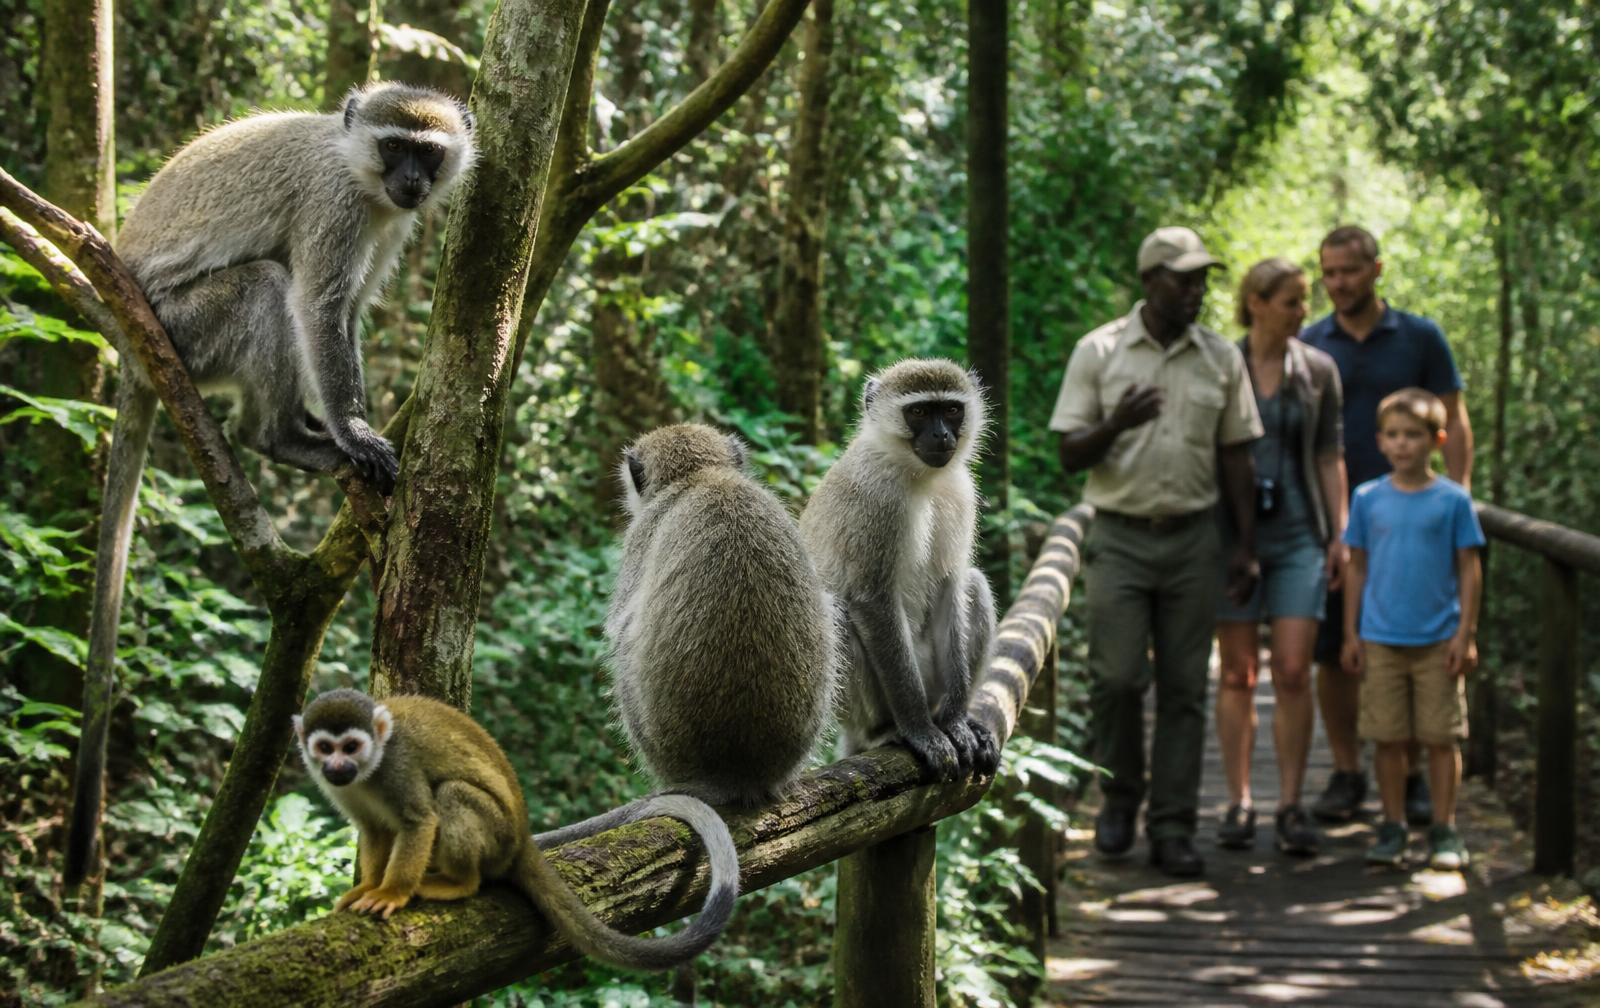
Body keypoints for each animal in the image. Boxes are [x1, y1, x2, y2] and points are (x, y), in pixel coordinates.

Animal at [64, 82, 475, 889]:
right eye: (394, 147)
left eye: (427, 153)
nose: (412, 183)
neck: (357, 169)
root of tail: (128, 339)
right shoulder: (336, 208)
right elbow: (319, 309)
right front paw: (353, 430)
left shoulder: (387, 220)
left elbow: (347, 312)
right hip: (189, 331)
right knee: (266, 287)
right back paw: (281, 436)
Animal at [294, 688, 739, 971]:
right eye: (325, 749)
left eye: (351, 747)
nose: (337, 766)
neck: (370, 769)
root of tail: (523, 838)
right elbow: (373, 830)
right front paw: (367, 888)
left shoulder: (398, 769)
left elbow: (419, 820)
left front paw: (390, 893)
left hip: (497, 835)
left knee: (451, 794)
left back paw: (459, 883)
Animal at [798, 358, 1001, 783]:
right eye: (919, 412)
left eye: (951, 409)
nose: (942, 434)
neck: (919, 475)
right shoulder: (877, 500)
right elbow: (870, 599)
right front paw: (921, 730)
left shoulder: (961, 492)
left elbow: (951, 586)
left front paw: (955, 723)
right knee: (836, 611)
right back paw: (882, 731)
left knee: (974, 584)